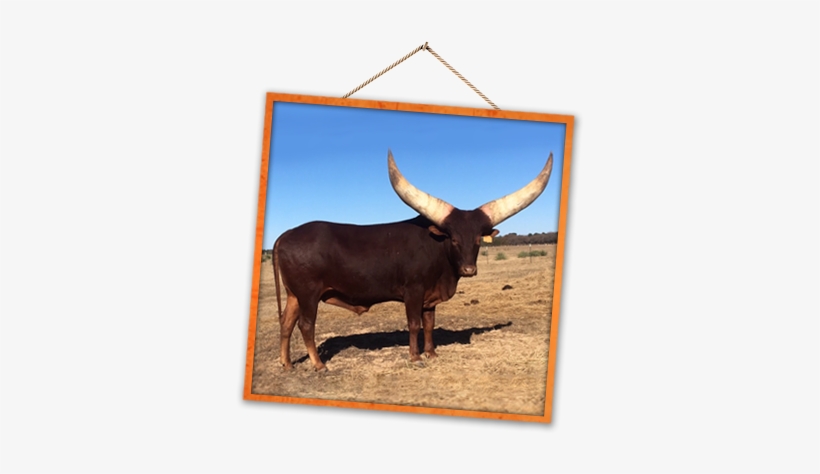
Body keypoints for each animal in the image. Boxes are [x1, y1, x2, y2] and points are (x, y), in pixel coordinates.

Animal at [272, 150, 553, 370]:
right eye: (453, 239)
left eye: (477, 240)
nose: (469, 269)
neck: (437, 250)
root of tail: (285, 235)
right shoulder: (413, 291)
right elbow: (415, 324)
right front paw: (416, 358)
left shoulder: (430, 296)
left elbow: (429, 324)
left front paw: (431, 353)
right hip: (308, 294)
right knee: (305, 325)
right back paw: (319, 365)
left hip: (294, 294)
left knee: (286, 323)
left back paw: (286, 364)